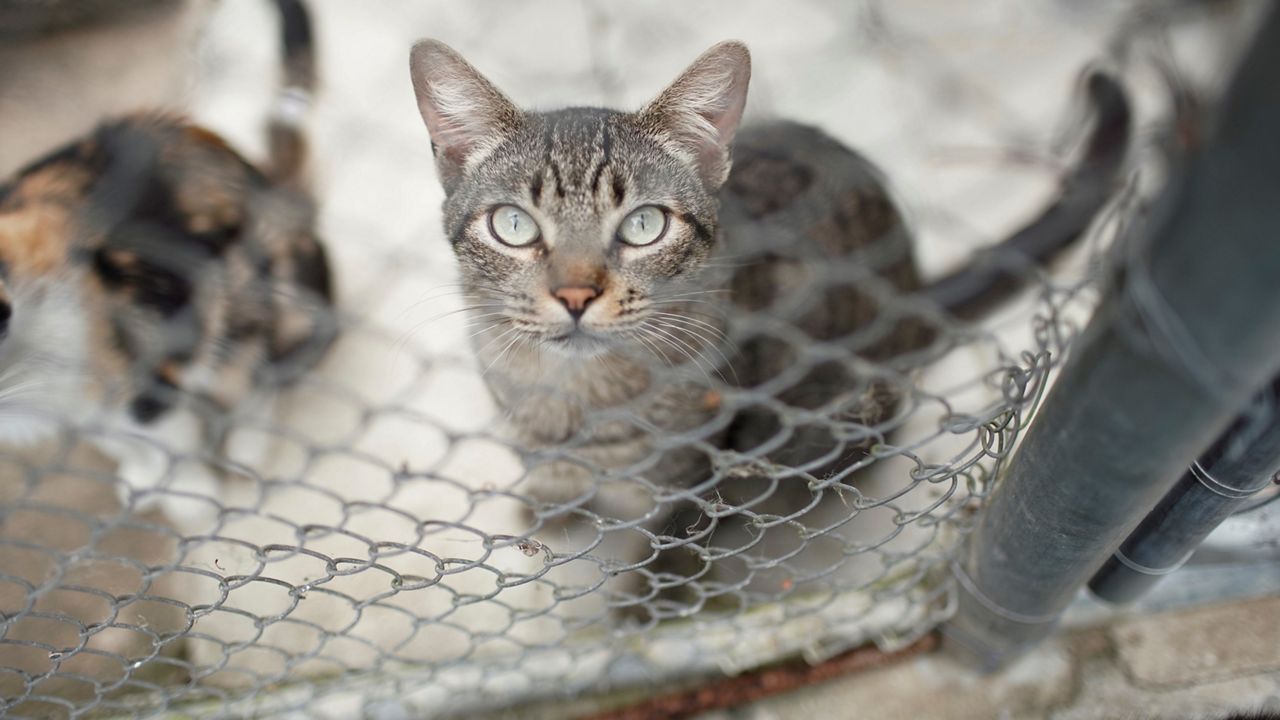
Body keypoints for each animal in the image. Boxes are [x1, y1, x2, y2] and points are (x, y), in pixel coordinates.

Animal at [0, 0, 335, 520]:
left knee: (258, 367)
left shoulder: (149, 348)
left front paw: (192, 499)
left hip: (259, 288)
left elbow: (163, 431)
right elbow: (117, 435)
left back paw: (246, 446)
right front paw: (143, 476)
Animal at [407, 39, 1131, 586]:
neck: (574, 399)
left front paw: (645, 603)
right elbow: (551, 475)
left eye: (644, 224)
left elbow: (672, 543)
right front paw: (552, 504)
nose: (576, 295)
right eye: (513, 225)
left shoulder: (702, 467)